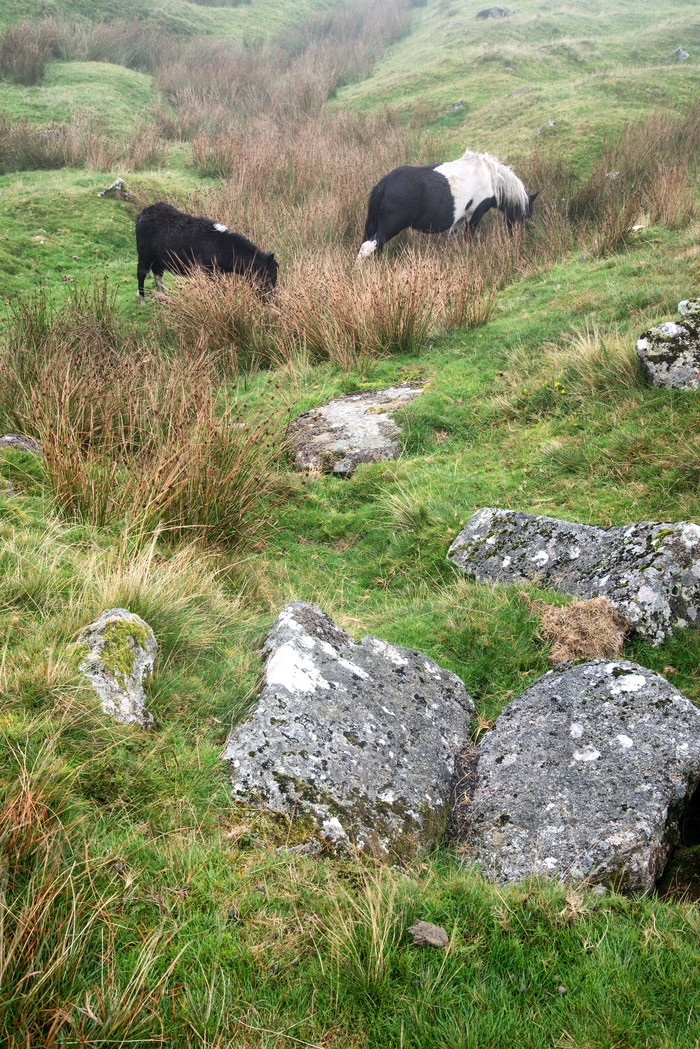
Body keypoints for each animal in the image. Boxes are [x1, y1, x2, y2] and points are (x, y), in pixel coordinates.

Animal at [135, 201, 277, 302]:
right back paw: (142, 299)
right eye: (269, 276)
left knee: (157, 271)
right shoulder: (206, 272)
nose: (269, 299)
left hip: (159, 256)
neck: (220, 245)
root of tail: (145, 212)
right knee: (142, 271)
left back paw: (162, 296)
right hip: (144, 252)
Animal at [358, 148, 541, 259]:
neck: (490, 176)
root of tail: (383, 185)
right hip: (390, 227)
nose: (520, 239)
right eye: (525, 216)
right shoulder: (474, 215)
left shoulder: (459, 219)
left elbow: (453, 239)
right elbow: (468, 238)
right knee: (367, 248)